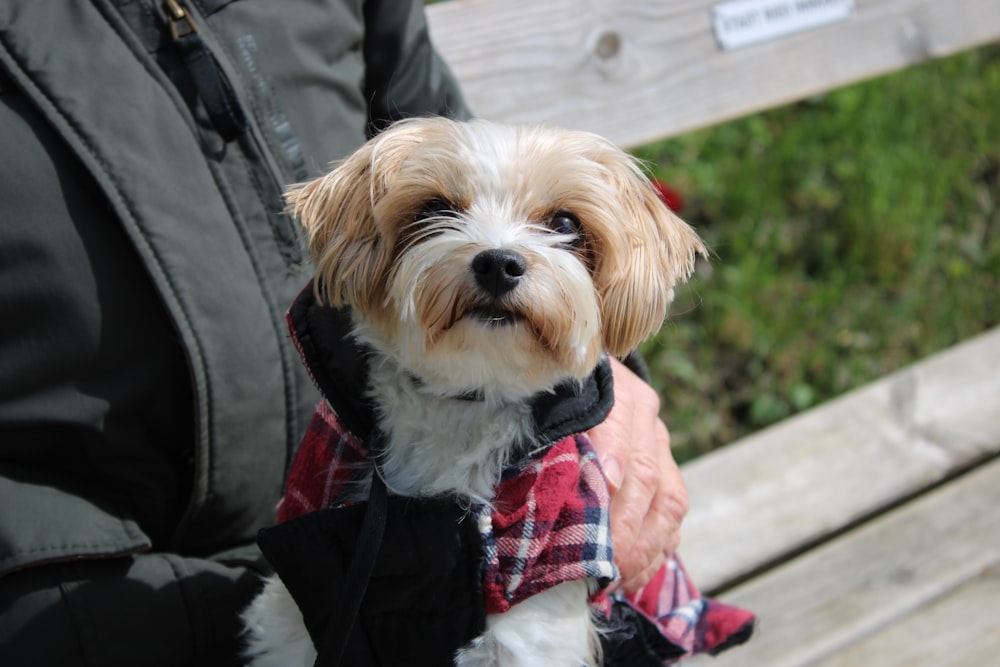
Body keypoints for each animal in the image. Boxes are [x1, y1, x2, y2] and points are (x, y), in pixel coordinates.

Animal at [242, 120, 708, 667]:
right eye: (434, 209)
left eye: (564, 222)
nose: (499, 263)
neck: (461, 402)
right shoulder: (306, 596)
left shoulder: (531, 593)